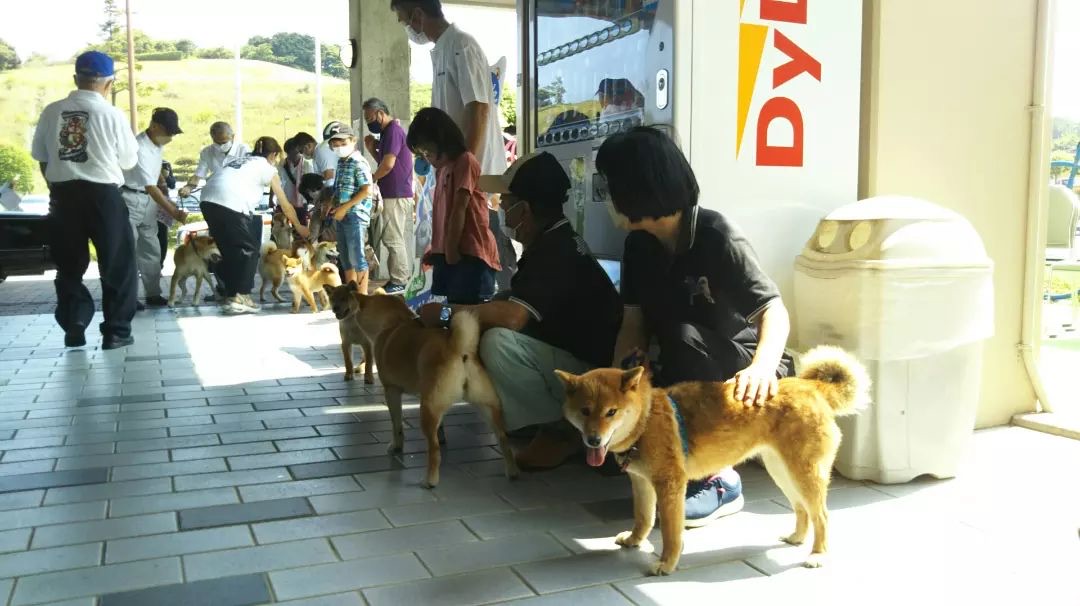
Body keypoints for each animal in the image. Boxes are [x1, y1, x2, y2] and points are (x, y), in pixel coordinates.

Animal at [557, 347, 868, 574]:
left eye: (611, 412)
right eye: (585, 411)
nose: (593, 440)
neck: (645, 421)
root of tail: (811, 386)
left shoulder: (670, 484)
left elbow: (670, 532)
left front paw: (667, 563)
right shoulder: (641, 482)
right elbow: (643, 518)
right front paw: (634, 541)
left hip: (803, 472)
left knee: (822, 515)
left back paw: (818, 554)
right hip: (781, 471)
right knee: (802, 509)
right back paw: (797, 538)